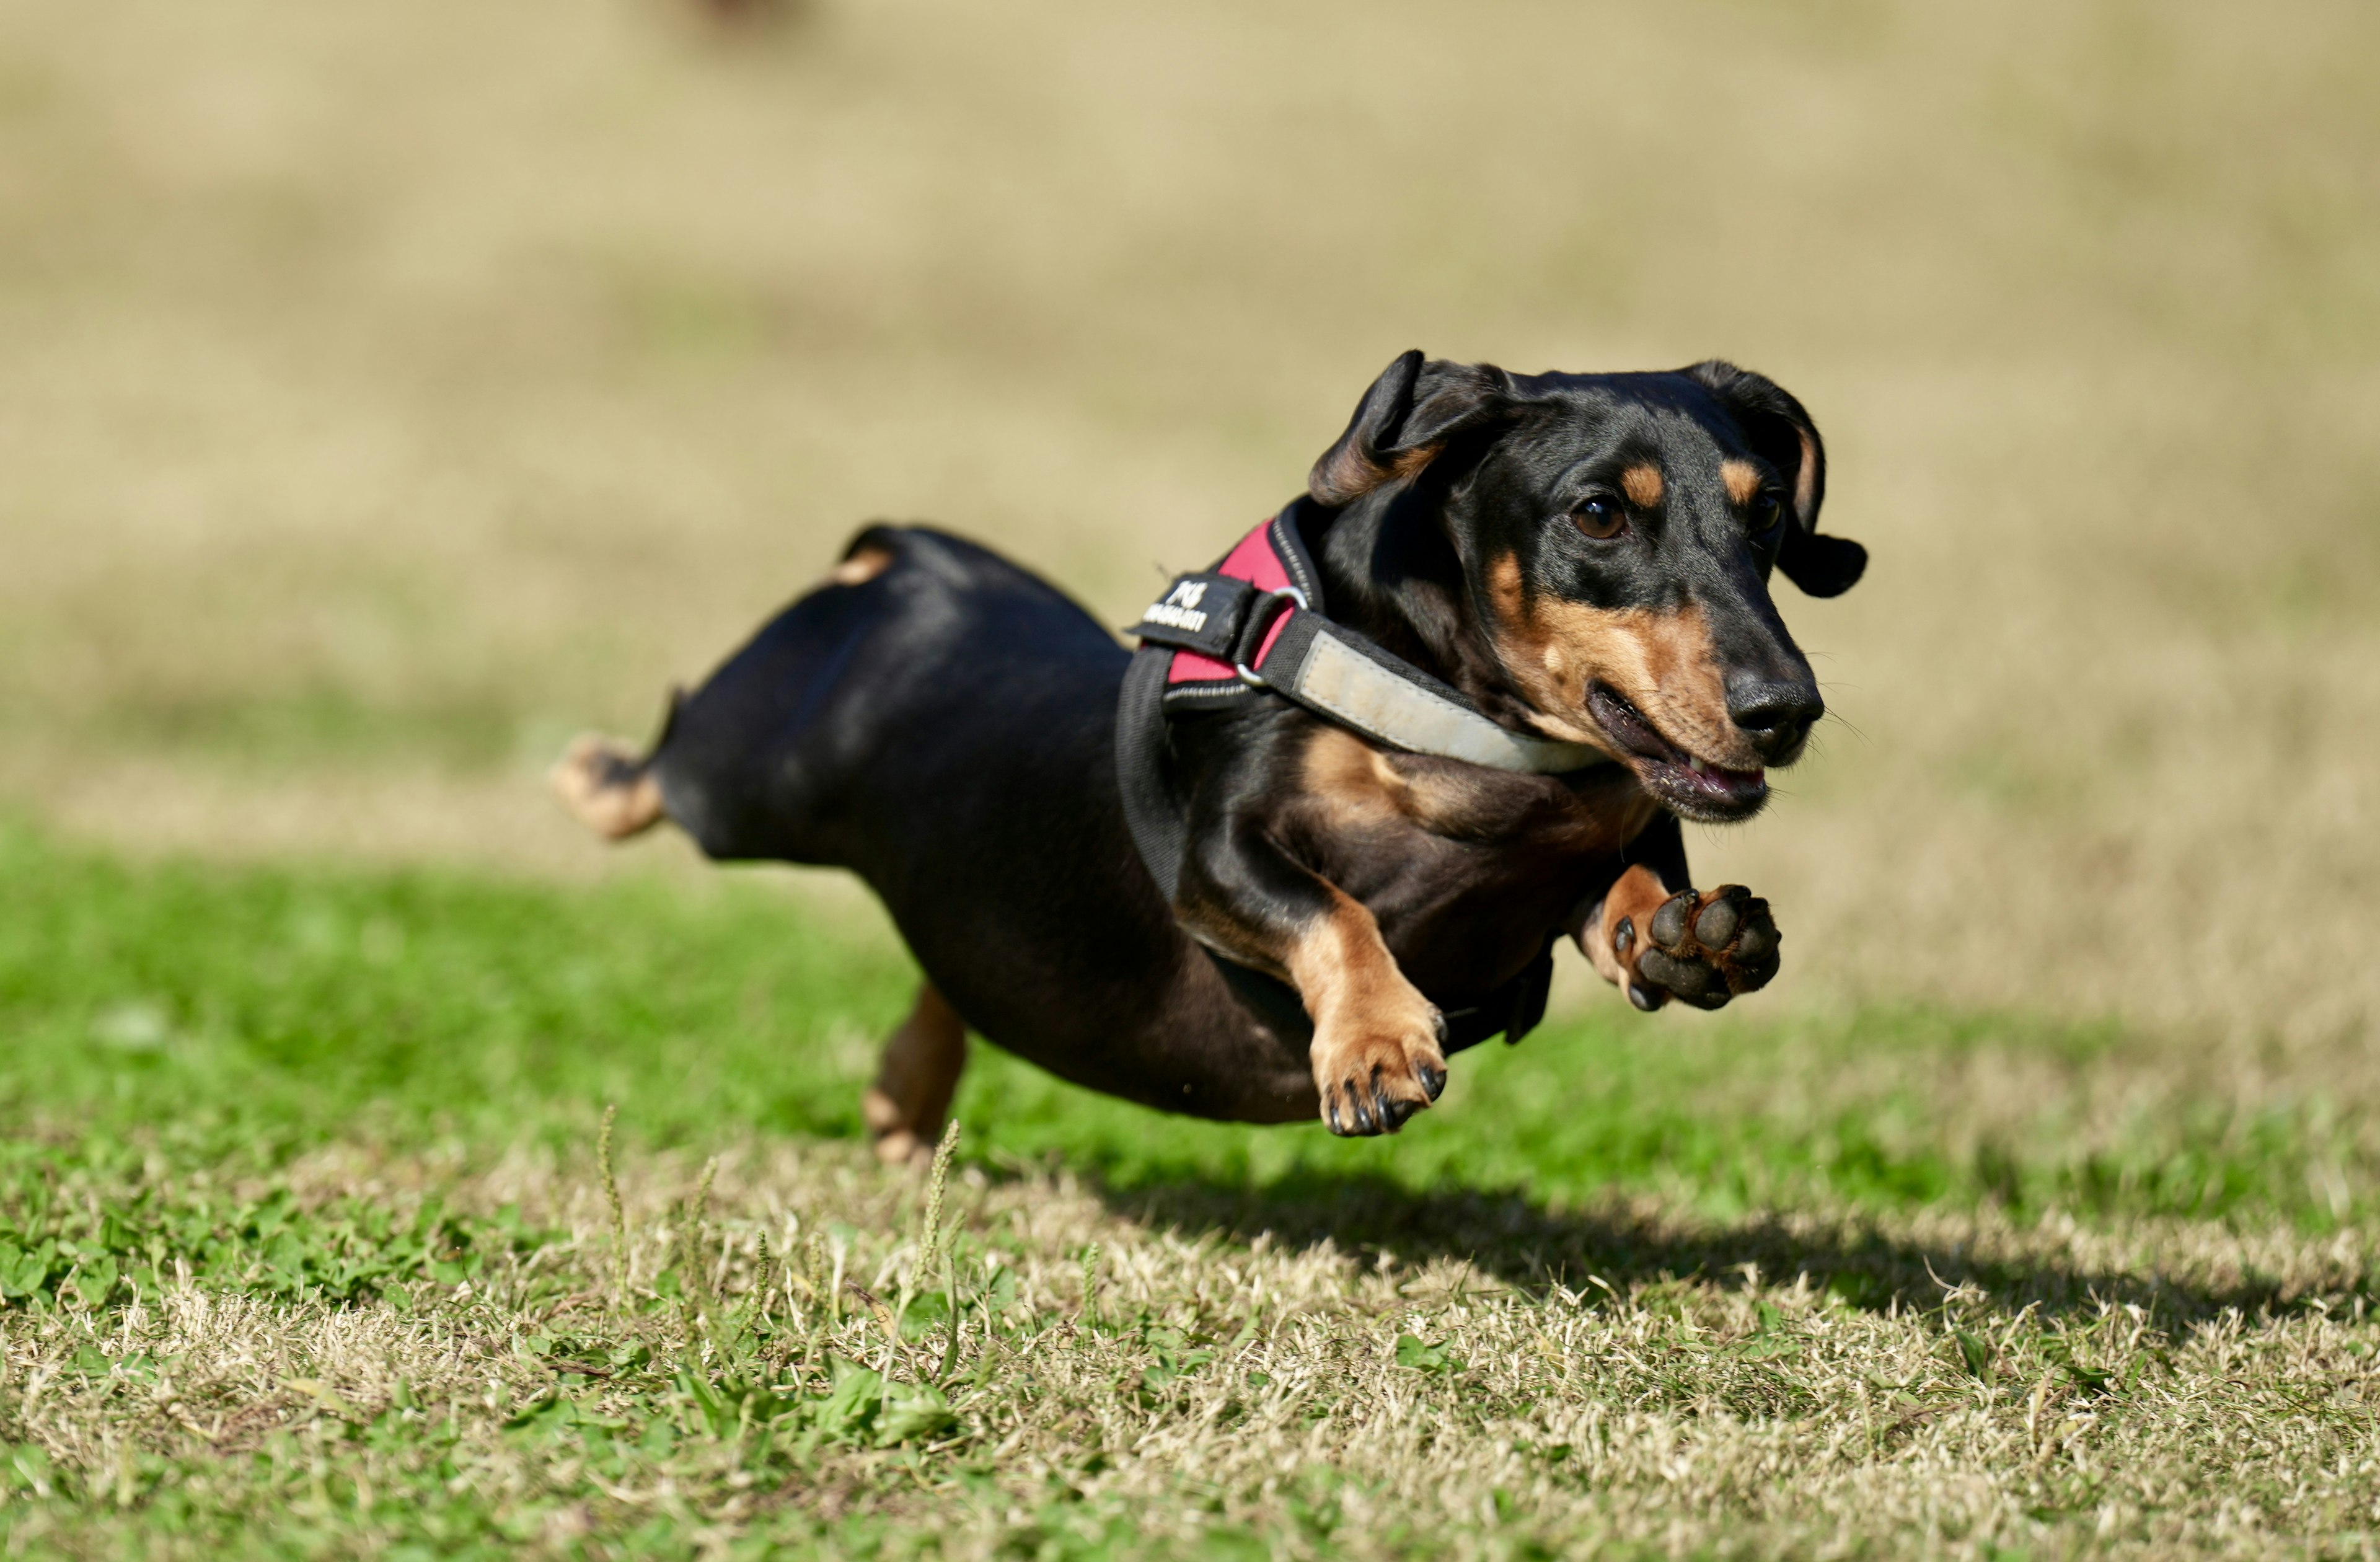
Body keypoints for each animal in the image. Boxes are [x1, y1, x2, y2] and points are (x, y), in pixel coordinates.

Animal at [552, 355, 1856, 1157]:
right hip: (747, 778)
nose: (1786, 708)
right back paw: (594, 775)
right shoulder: (1220, 857)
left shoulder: (1585, 851)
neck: (1470, 736)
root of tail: (914, 558)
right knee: (666, 768)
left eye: (1765, 515)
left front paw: (1695, 934)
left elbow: (1629, 895)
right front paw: (1375, 1046)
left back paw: (907, 1089)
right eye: (1598, 513)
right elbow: (1333, 913)